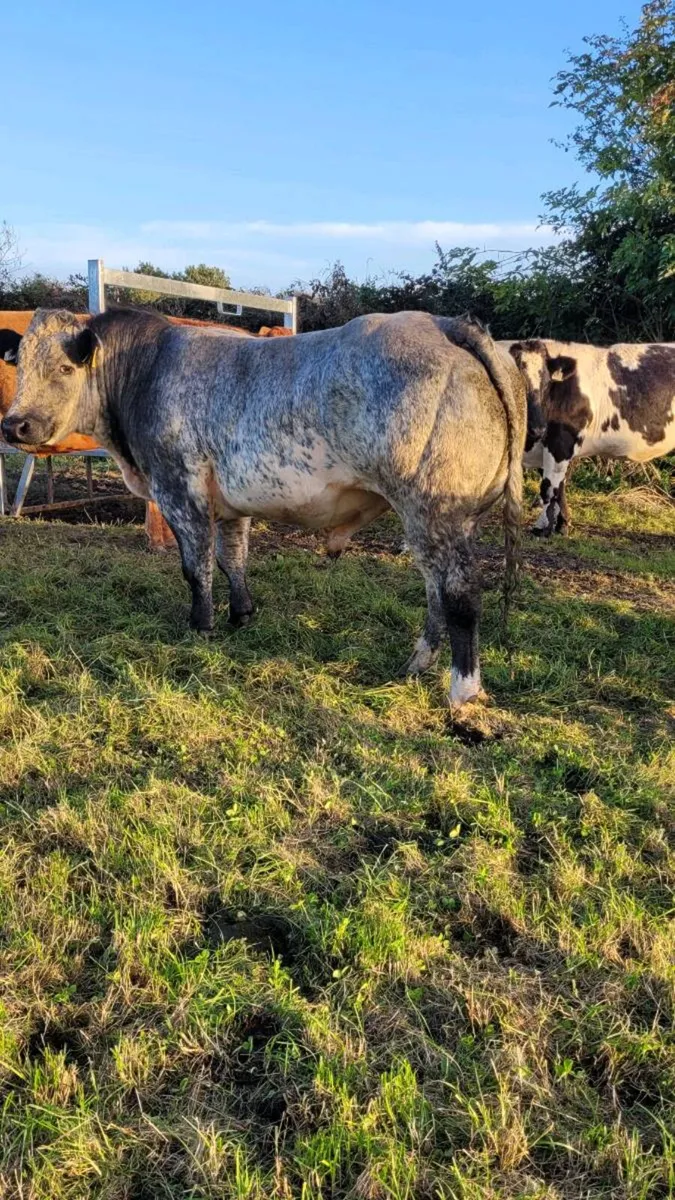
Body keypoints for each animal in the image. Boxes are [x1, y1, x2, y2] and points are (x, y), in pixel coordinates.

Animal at [0, 307, 525, 707]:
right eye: (20, 364)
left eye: (64, 368)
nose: (14, 425)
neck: (144, 374)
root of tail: (443, 323)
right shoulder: (233, 502)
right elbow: (233, 558)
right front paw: (242, 613)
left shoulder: (179, 489)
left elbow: (197, 567)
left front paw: (201, 625)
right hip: (442, 521)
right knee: (436, 591)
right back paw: (415, 664)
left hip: (435, 509)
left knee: (460, 595)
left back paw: (463, 691)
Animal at [506, 338, 675, 536]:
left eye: (546, 383)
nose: (538, 427)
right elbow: (558, 485)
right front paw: (559, 525)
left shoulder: (561, 442)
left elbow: (550, 486)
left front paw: (546, 527)